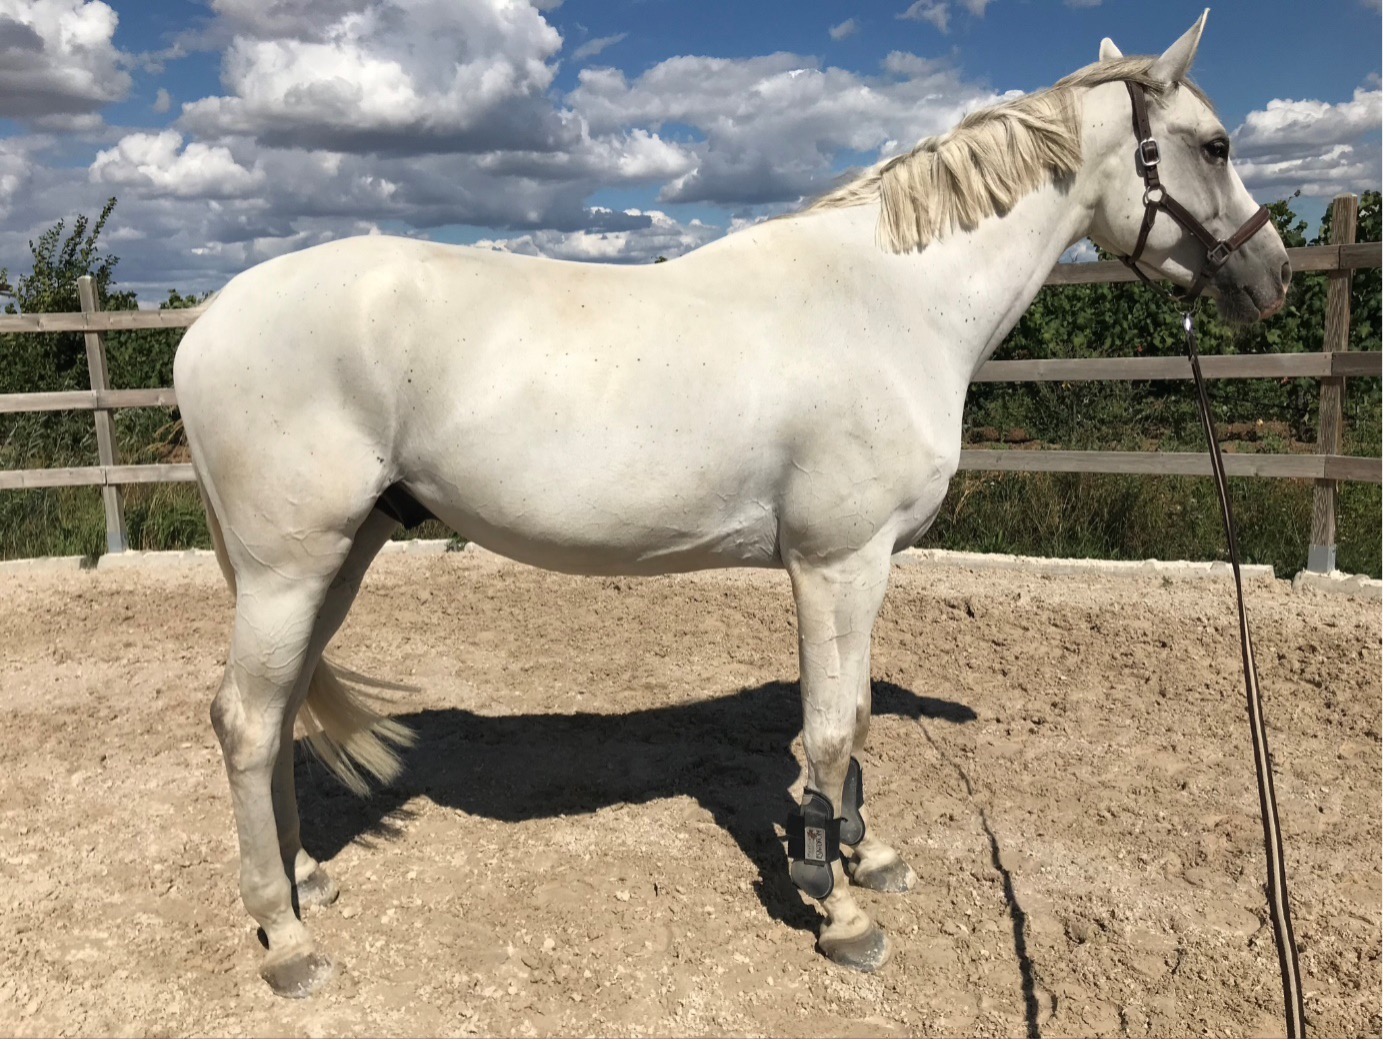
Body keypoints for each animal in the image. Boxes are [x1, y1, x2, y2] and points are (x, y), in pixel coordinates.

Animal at [174, 11, 1289, 997]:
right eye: (1214, 144)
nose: (1270, 276)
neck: (891, 304)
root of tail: (209, 318)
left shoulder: (865, 568)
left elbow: (857, 713)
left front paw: (865, 852)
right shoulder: (836, 563)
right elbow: (829, 728)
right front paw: (839, 907)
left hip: (341, 554)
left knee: (280, 712)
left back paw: (305, 880)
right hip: (290, 567)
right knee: (245, 722)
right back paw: (285, 938)